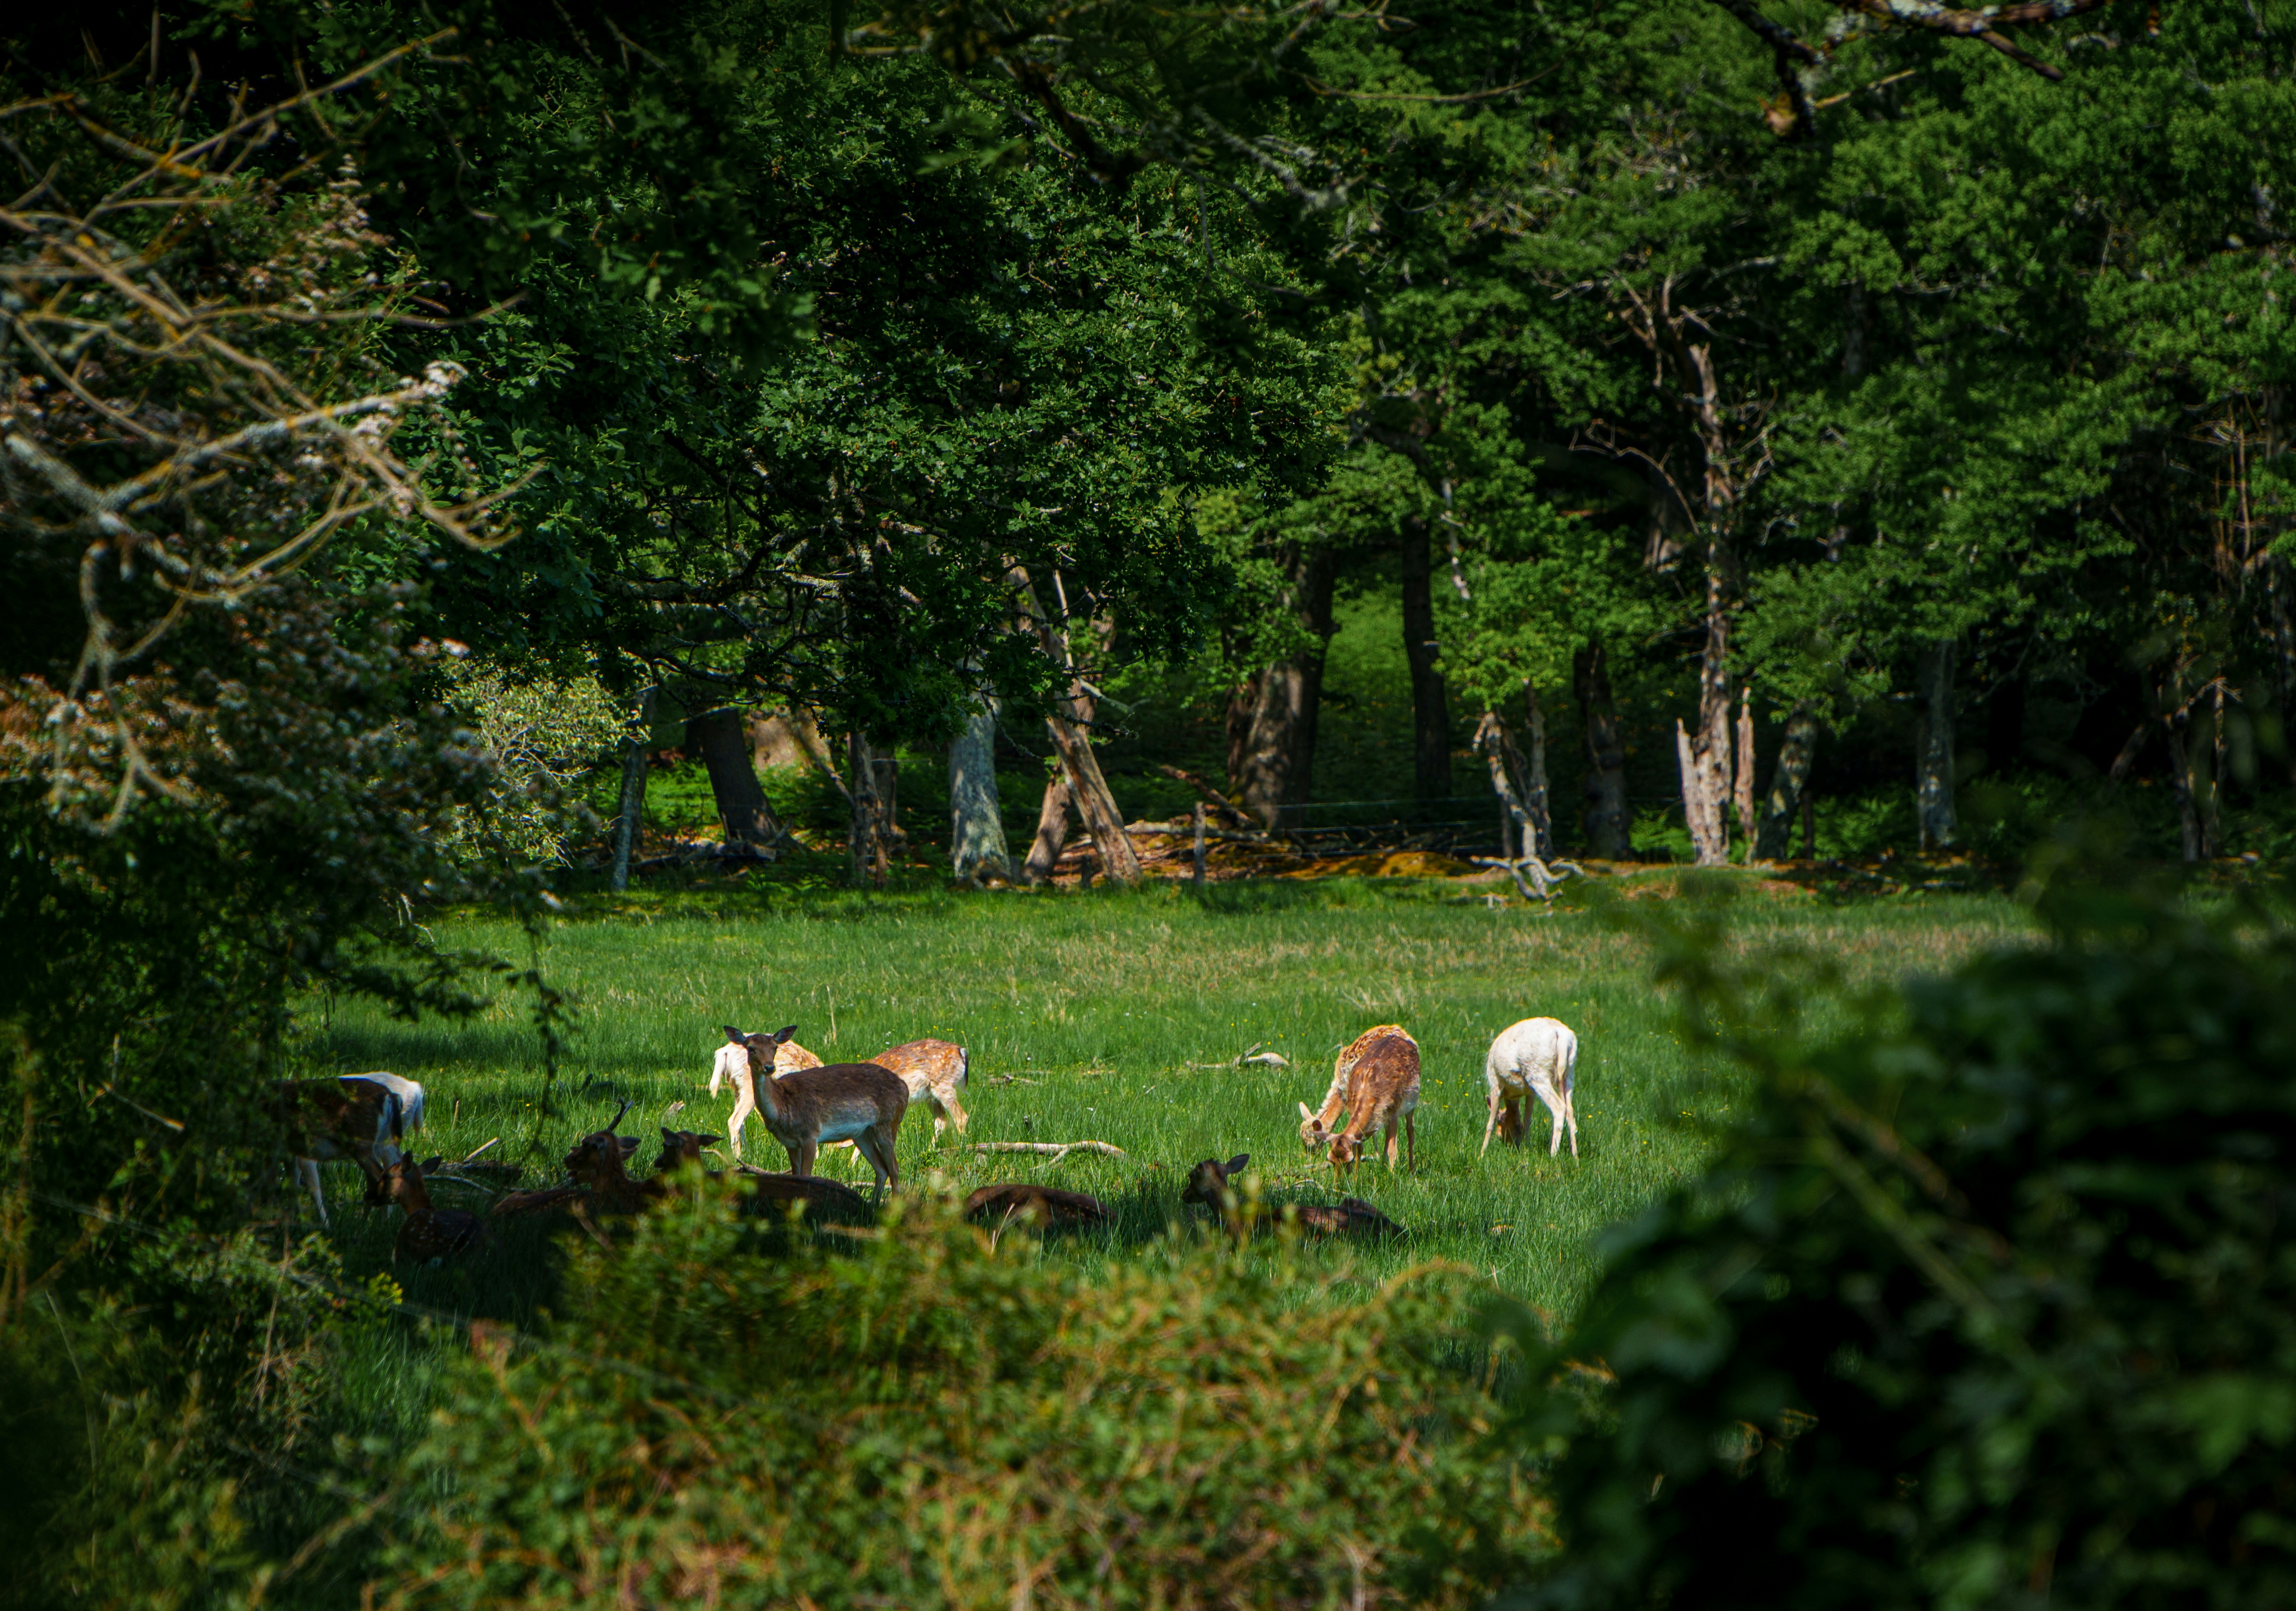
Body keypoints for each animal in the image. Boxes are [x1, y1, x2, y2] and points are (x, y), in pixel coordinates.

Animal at [733, 1029, 908, 1202]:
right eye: (751, 1048)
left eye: (775, 1048)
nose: (769, 1067)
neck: (782, 1105)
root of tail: (904, 1087)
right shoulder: (790, 1143)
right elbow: (795, 1176)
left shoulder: (811, 1133)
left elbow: (806, 1176)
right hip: (862, 1134)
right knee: (881, 1168)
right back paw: (873, 1204)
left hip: (889, 1122)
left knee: (894, 1167)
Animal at [1301, 1031, 1420, 1178]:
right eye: (1331, 1160)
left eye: (1312, 1142)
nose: (1311, 1157)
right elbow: (1362, 1142)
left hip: (1410, 1104)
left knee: (1410, 1130)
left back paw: (1411, 1169)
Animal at [1481, 1017, 1580, 1158]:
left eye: (1502, 1127)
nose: (1510, 1145)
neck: (1512, 1095)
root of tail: (1562, 1036)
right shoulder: (1531, 1092)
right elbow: (1527, 1119)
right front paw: (1526, 1149)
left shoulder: (1495, 1084)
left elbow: (1491, 1122)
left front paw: (1482, 1154)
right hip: (1569, 1073)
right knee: (1570, 1112)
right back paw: (1576, 1157)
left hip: (1538, 1073)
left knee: (1560, 1107)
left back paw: (1553, 1155)